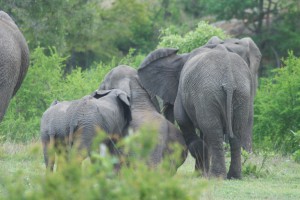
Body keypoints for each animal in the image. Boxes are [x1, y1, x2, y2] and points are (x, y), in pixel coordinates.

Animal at [138, 36, 260, 179]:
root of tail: (229, 79)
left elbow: (183, 120)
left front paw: (200, 173)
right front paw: (201, 173)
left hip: (207, 93)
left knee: (214, 133)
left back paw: (216, 177)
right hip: (241, 94)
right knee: (236, 131)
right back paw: (233, 176)